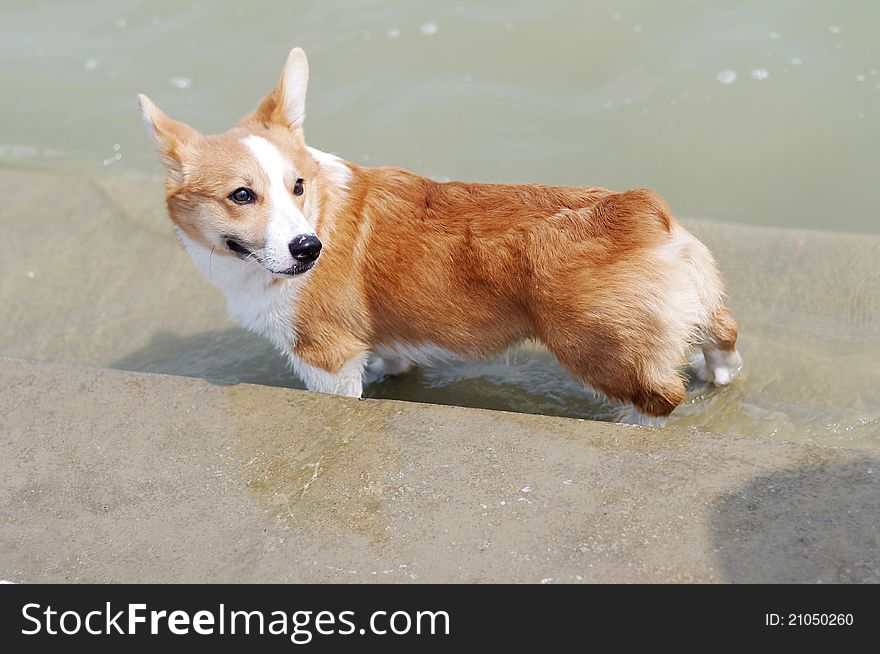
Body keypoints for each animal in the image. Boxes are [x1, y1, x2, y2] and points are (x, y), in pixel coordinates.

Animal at [139, 46, 744, 426]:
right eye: (242, 195)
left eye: (297, 185)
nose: (309, 250)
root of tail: (641, 210)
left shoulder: (325, 358)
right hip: (697, 299)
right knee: (723, 335)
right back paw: (719, 374)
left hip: (596, 348)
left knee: (660, 396)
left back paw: (631, 427)